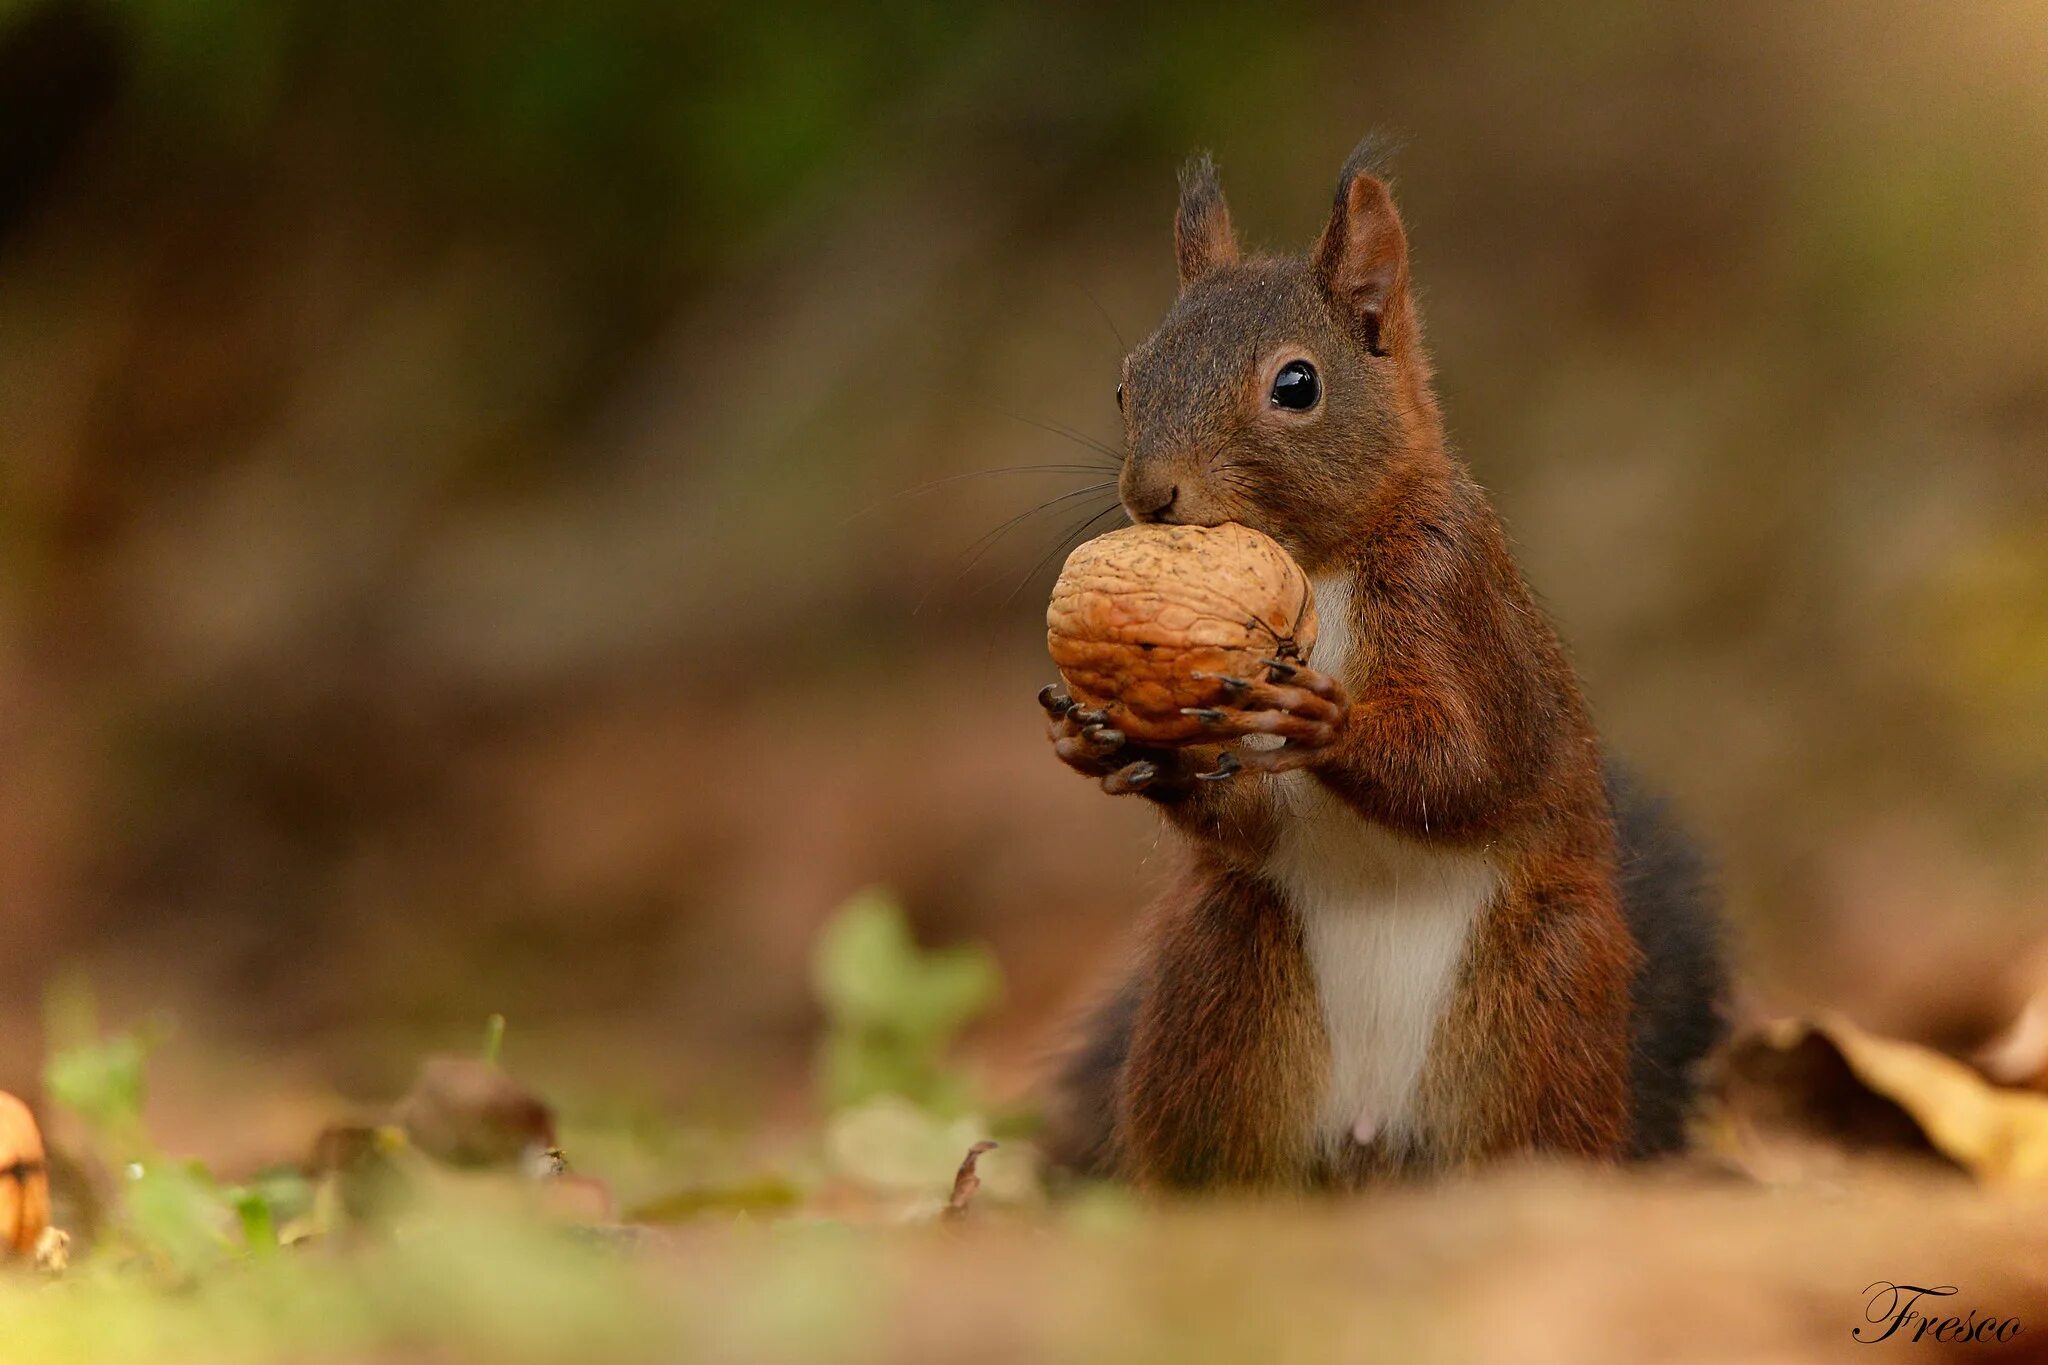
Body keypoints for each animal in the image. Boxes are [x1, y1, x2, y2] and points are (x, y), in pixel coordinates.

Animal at [1040, 133, 1728, 1186]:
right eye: (1127, 380)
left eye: (1297, 385)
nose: (1150, 492)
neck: (1315, 563)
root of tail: (1371, 1142)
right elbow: (1246, 819)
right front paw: (1119, 743)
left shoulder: (1454, 602)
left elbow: (1467, 764)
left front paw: (1326, 722)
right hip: (1216, 990)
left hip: (1543, 1008)